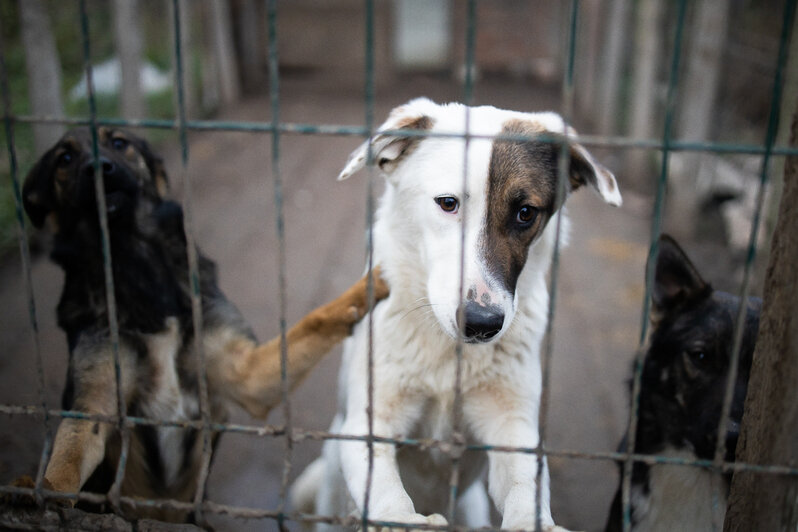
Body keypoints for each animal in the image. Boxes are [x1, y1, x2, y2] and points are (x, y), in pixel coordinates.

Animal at [18, 128, 388, 520]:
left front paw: (368, 285)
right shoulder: (95, 405)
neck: (135, 262)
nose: (98, 168)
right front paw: (43, 489)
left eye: (119, 143)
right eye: (65, 159)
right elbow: (68, 457)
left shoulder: (247, 375)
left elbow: (315, 319)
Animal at [294, 97, 624, 528]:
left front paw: (531, 522)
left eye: (525, 213)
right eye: (448, 203)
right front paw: (402, 520)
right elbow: (383, 489)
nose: (483, 325)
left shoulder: (511, 425)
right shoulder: (370, 422)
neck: (447, 354)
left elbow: (525, 485)